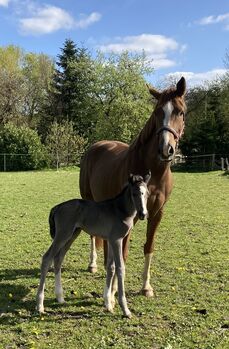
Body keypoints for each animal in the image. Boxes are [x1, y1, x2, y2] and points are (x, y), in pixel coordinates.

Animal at [79, 77, 186, 296]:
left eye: (181, 112)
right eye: (157, 112)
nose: (166, 149)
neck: (153, 173)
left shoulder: (157, 214)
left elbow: (148, 247)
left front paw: (146, 287)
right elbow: (124, 252)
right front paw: (113, 292)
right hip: (89, 199)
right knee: (94, 235)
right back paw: (93, 264)